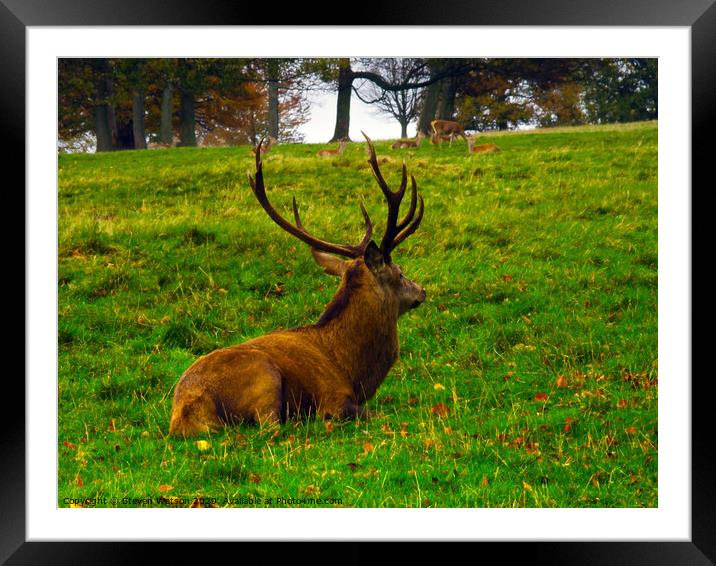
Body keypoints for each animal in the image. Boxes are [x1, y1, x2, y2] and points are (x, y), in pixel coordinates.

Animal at [168, 133, 426, 440]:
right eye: (400, 272)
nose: (422, 290)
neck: (351, 368)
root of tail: (186, 414)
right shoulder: (334, 399)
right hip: (265, 377)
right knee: (270, 427)